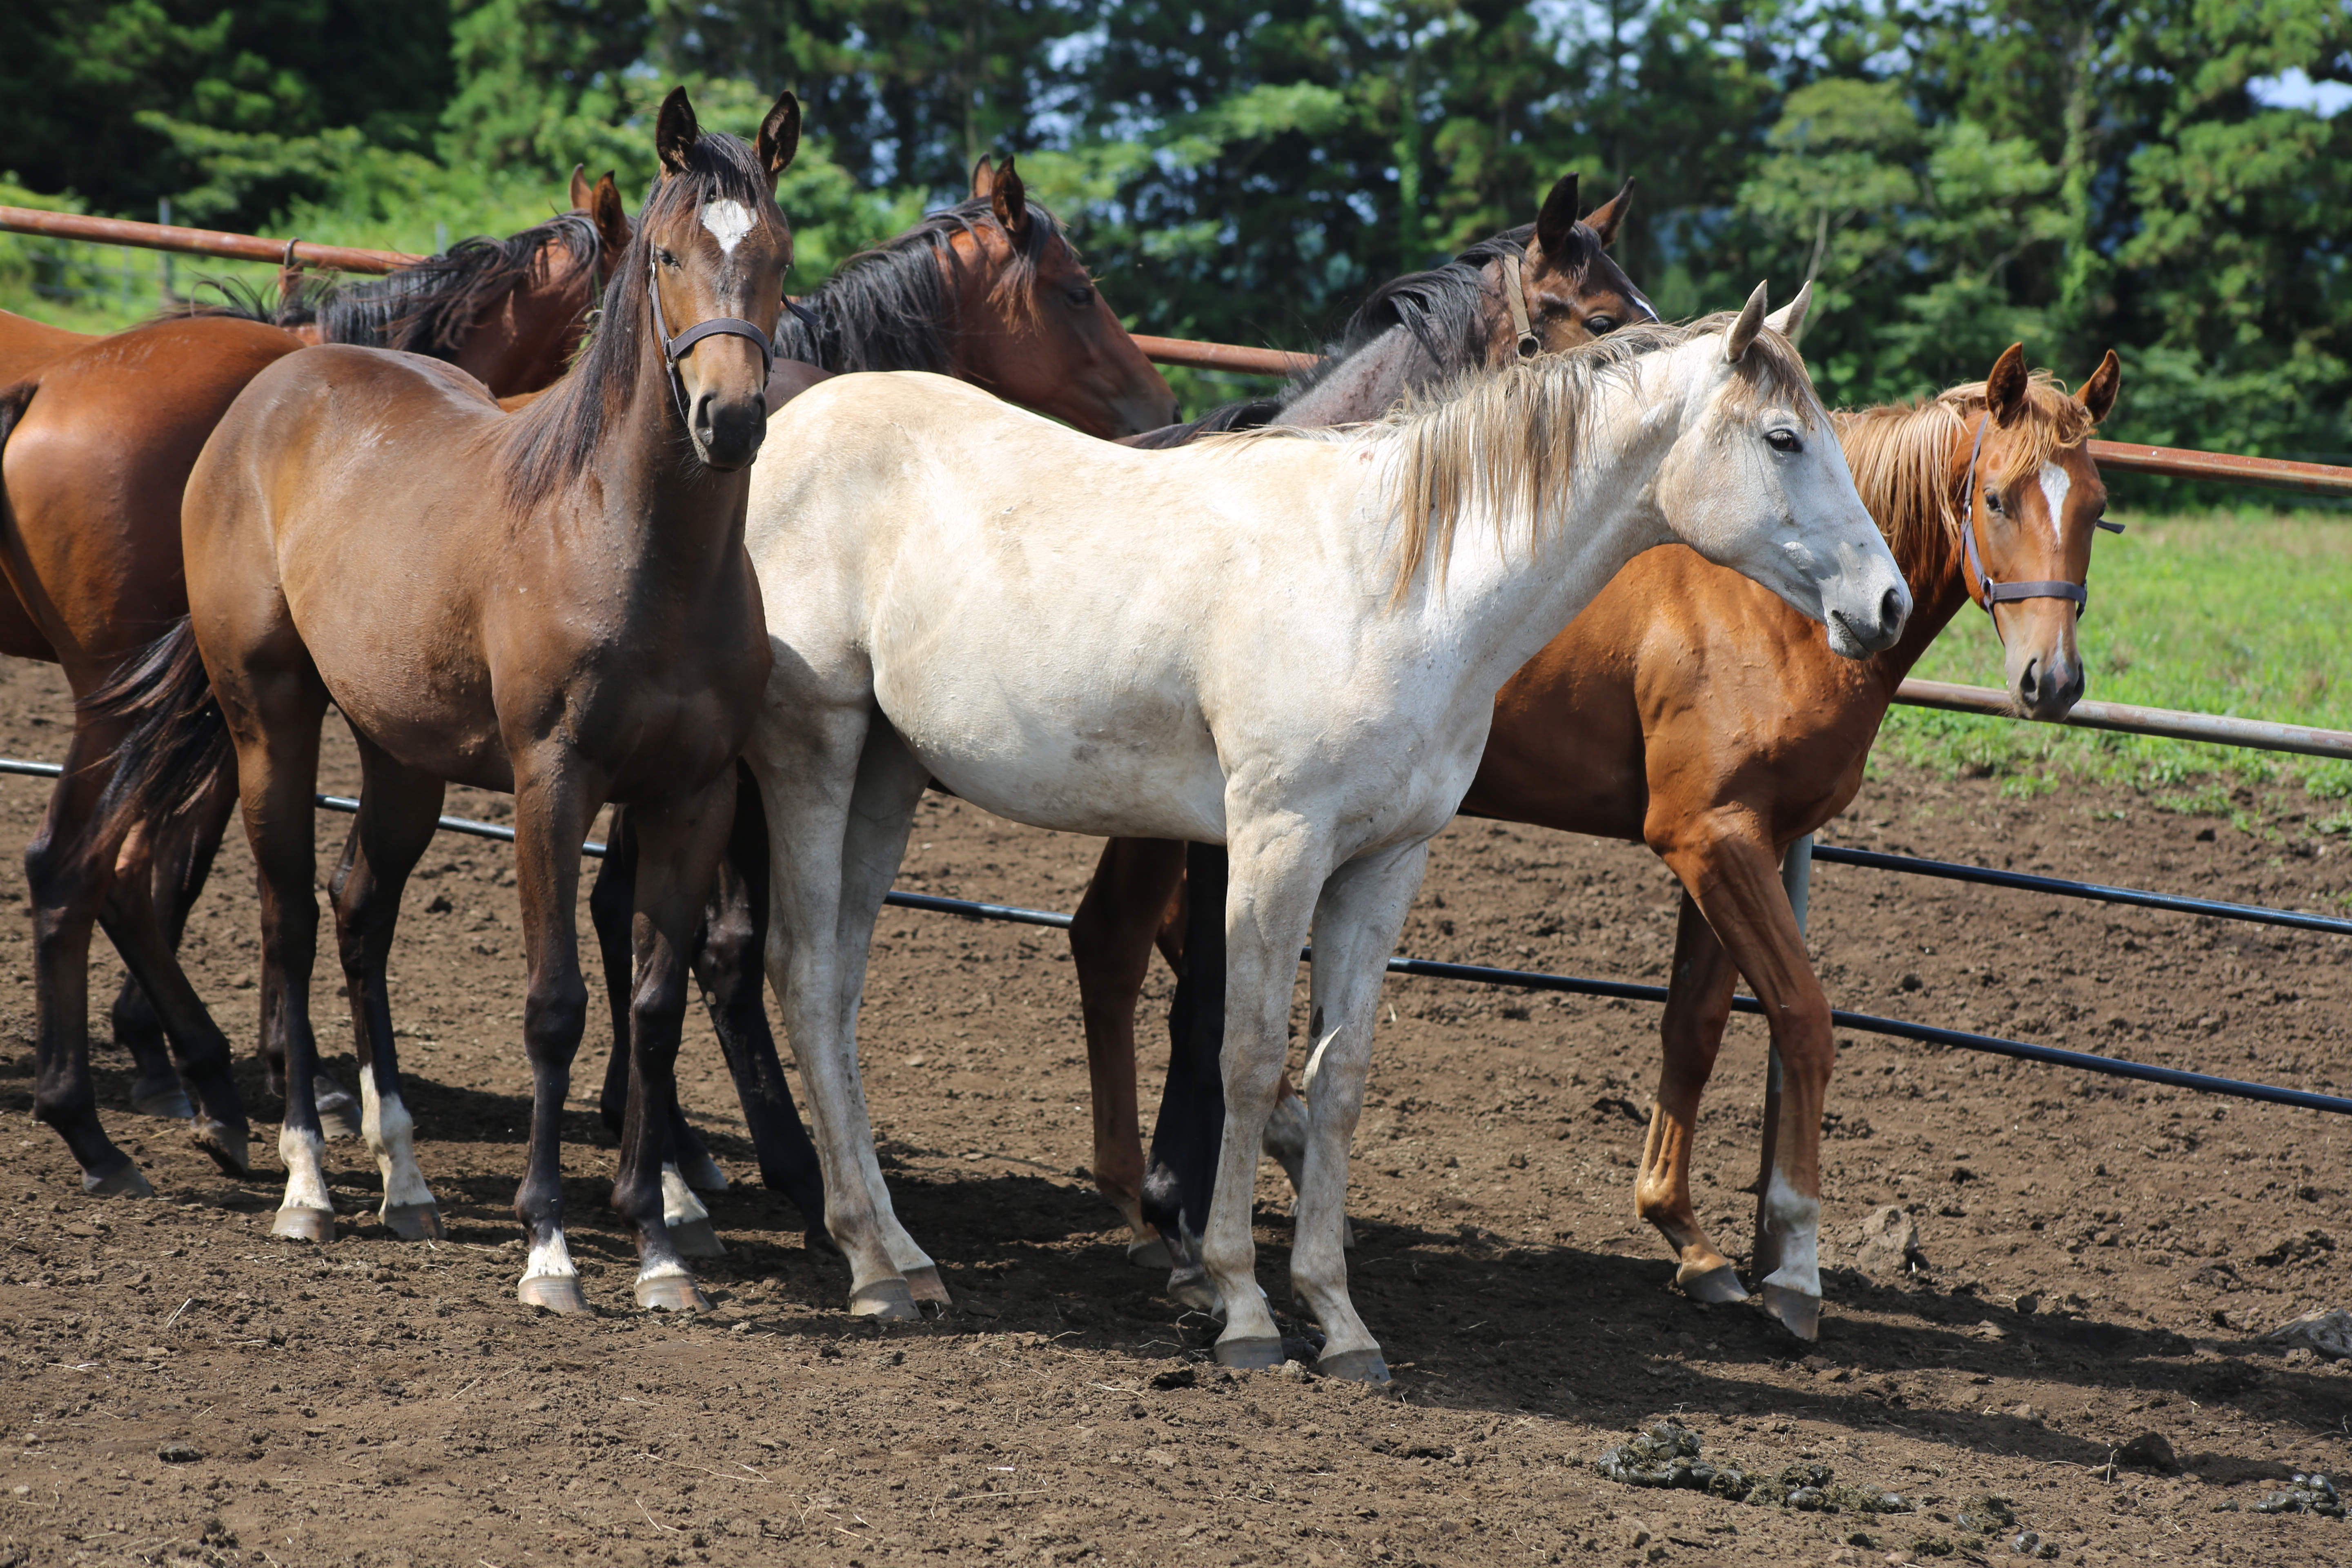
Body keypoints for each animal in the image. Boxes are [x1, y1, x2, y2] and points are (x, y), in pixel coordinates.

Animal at [94, 86, 790, 1316]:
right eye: (667, 255)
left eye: (779, 256)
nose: (730, 418)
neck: (629, 546)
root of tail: (272, 389)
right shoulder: (552, 784)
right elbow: (556, 1005)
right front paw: (549, 1245)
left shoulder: (692, 795)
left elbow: (655, 1009)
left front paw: (658, 1245)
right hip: (270, 723)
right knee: (287, 921)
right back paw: (308, 1184)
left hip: (402, 760)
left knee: (358, 907)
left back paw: (407, 1183)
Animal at [734, 288, 1910, 1382]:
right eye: (1784, 439)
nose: (1888, 604)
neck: (1396, 586)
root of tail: (787, 428)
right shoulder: (1275, 846)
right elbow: (1248, 1060)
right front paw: (1245, 1309)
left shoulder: (1384, 865)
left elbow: (1338, 1078)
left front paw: (1340, 1324)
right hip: (818, 748)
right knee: (802, 970)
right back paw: (870, 1266)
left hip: (890, 770)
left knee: (838, 983)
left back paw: (904, 1252)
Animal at [1082, 341, 2136, 1335]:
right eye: (1996, 498)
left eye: (2095, 507)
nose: (2051, 679)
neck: (1765, 608)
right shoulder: (1711, 837)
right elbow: (1800, 1017)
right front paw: (1792, 1270)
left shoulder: (1734, 844)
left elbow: (1694, 1026)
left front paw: (1690, 1240)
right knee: (1138, 950)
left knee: (1127, 943)